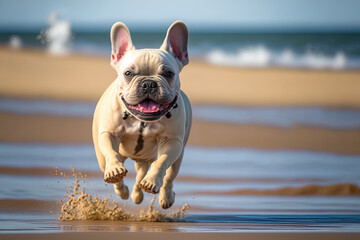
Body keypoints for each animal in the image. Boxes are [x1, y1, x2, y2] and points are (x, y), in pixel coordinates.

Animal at [93, 20, 193, 209]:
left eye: (169, 73)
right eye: (128, 73)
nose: (148, 83)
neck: (141, 121)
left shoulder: (172, 142)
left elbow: (161, 162)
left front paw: (152, 181)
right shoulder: (109, 134)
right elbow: (111, 152)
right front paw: (115, 170)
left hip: (169, 157)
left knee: (163, 176)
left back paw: (156, 195)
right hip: (104, 157)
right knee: (113, 169)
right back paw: (123, 189)